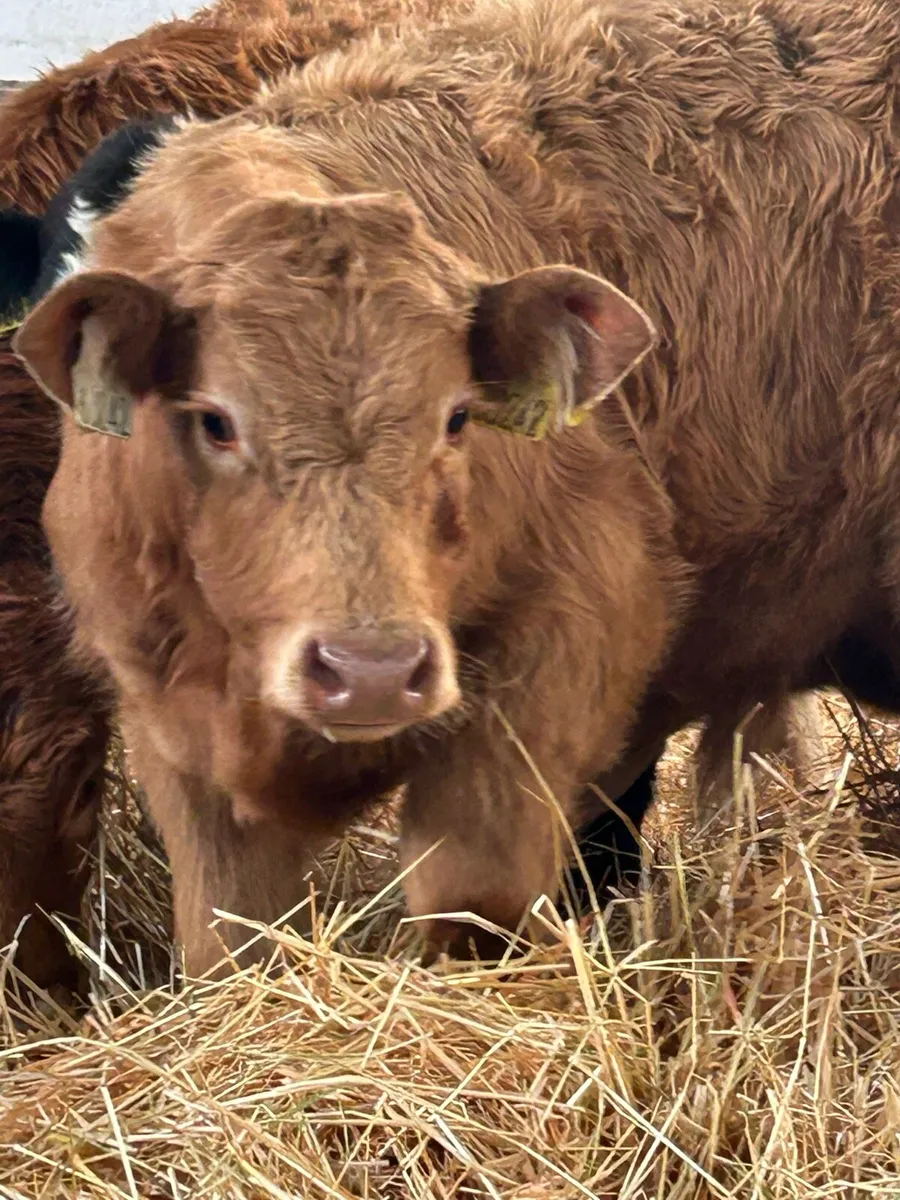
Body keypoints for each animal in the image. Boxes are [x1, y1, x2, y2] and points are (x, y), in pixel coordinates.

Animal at [15, 0, 886, 976]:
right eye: (215, 420)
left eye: (458, 416)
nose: (371, 672)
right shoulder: (174, 730)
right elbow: (229, 941)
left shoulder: (555, 659)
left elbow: (474, 901)